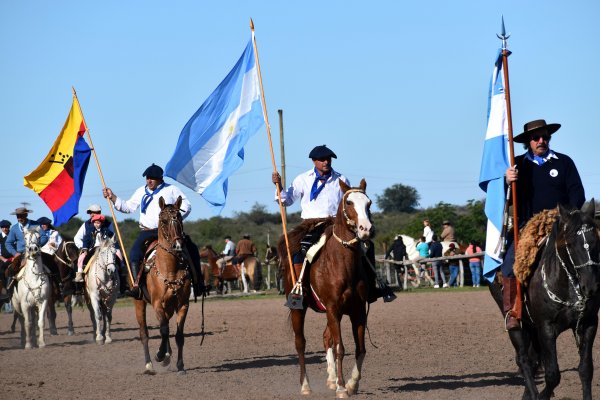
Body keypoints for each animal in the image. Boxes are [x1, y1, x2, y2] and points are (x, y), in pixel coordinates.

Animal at [135, 197, 190, 376]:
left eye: (179, 218)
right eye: (164, 220)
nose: (178, 246)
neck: (170, 269)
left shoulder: (182, 305)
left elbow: (179, 335)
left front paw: (180, 366)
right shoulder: (157, 303)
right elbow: (164, 330)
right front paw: (159, 355)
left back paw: (167, 355)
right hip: (139, 302)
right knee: (144, 333)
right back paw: (149, 365)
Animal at [278, 180, 372, 398]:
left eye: (369, 203)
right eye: (349, 202)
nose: (366, 229)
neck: (342, 264)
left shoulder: (357, 311)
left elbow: (360, 349)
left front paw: (352, 384)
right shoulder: (333, 309)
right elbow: (340, 348)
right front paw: (341, 387)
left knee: (326, 337)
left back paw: (330, 378)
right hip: (300, 310)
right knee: (300, 343)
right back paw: (306, 385)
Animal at [490, 203, 600, 400]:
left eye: (595, 239)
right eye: (569, 243)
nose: (591, 286)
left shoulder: (588, 323)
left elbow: (586, 369)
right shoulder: (547, 328)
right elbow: (553, 374)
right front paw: (542, 395)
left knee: (533, 360)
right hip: (517, 324)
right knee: (523, 359)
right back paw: (533, 394)